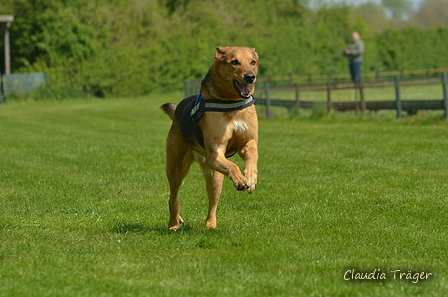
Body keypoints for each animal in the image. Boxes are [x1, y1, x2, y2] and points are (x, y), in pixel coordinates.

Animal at [160, 46, 260, 230]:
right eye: (235, 62)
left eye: (253, 62)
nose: (250, 76)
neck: (231, 103)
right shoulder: (215, 153)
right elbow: (234, 165)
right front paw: (241, 180)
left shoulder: (248, 141)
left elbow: (251, 156)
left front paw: (250, 178)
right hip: (176, 168)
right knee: (172, 197)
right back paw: (174, 223)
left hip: (215, 176)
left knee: (212, 201)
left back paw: (210, 224)